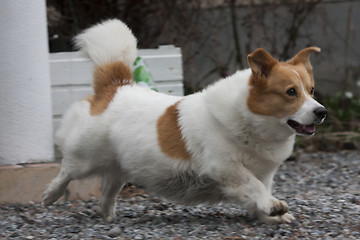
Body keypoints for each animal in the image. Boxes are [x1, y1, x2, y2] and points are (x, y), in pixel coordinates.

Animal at [43, 18, 326, 223]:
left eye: (311, 90)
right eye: (291, 92)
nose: (321, 112)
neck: (251, 121)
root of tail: (115, 86)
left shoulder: (263, 174)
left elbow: (259, 191)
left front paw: (269, 214)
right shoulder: (225, 167)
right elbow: (253, 186)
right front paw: (273, 206)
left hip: (120, 166)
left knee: (108, 190)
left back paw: (107, 215)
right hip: (86, 158)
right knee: (67, 171)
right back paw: (50, 195)